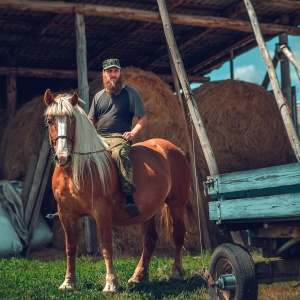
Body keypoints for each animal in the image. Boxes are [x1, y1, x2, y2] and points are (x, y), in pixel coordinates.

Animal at [42, 89, 192, 292]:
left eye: (72, 120)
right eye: (50, 121)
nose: (63, 157)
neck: (74, 172)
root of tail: (174, 149)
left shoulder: (102, 212)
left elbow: (106, 246)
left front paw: (111, 283)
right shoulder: (66, 214)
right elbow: (70, 247)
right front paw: (68, 282)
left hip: (177, 204)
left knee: (178, 235)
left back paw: (176, 273)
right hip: (147, 212)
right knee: (150, 239)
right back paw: (138, 276)